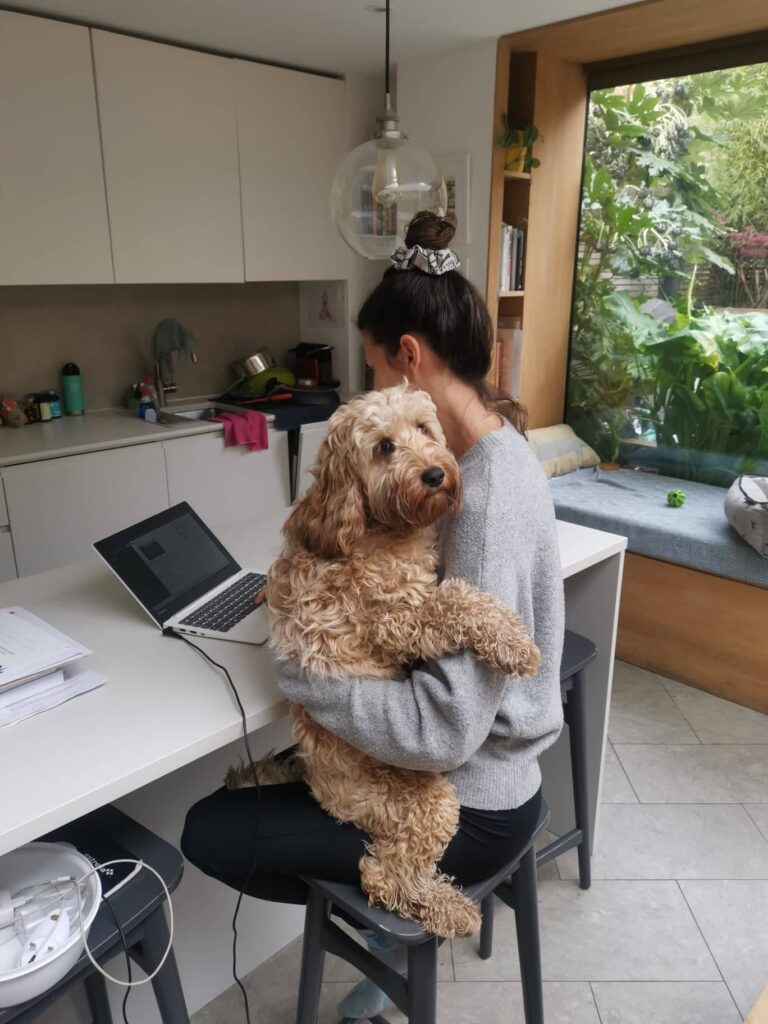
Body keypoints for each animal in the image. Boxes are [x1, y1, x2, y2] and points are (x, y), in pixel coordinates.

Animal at [227, 382, 540, 937]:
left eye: (423, 428)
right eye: (383, 447)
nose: (435, 474)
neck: (369, 525)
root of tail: (320, 788)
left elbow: (453, 594)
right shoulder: (398, 618)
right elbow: (456, 600)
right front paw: (514, 640)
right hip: (424, 800)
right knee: (382, 875)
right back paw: (449, 908)